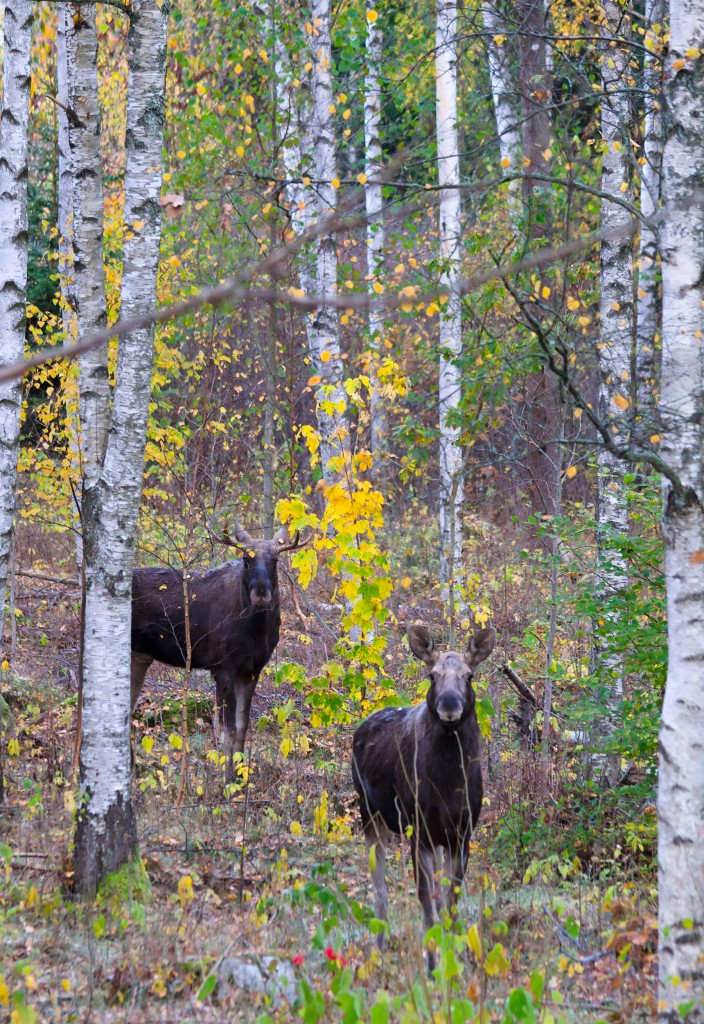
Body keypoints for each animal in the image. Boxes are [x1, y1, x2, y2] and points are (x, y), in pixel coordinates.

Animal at [130, 524, 300, 778]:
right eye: (246, 559)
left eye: (275, 559)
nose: (261, 593)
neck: (257, 628)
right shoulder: (223, 668)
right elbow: (228, 730)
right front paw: (227, 779)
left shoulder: (251, 671)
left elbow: (242, 727)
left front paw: (239, 776)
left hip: (139, 657)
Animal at [349, 622, 495, 966]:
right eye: (432, 674)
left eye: (469, 675)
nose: (450, 706)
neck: (448, 781)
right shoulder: (419, 834)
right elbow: (427, 910)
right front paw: (431, 965)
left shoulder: (461, 835)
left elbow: (450, 907)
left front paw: (453, 961)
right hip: (370, 815)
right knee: (379, 889)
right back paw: (380, 946)